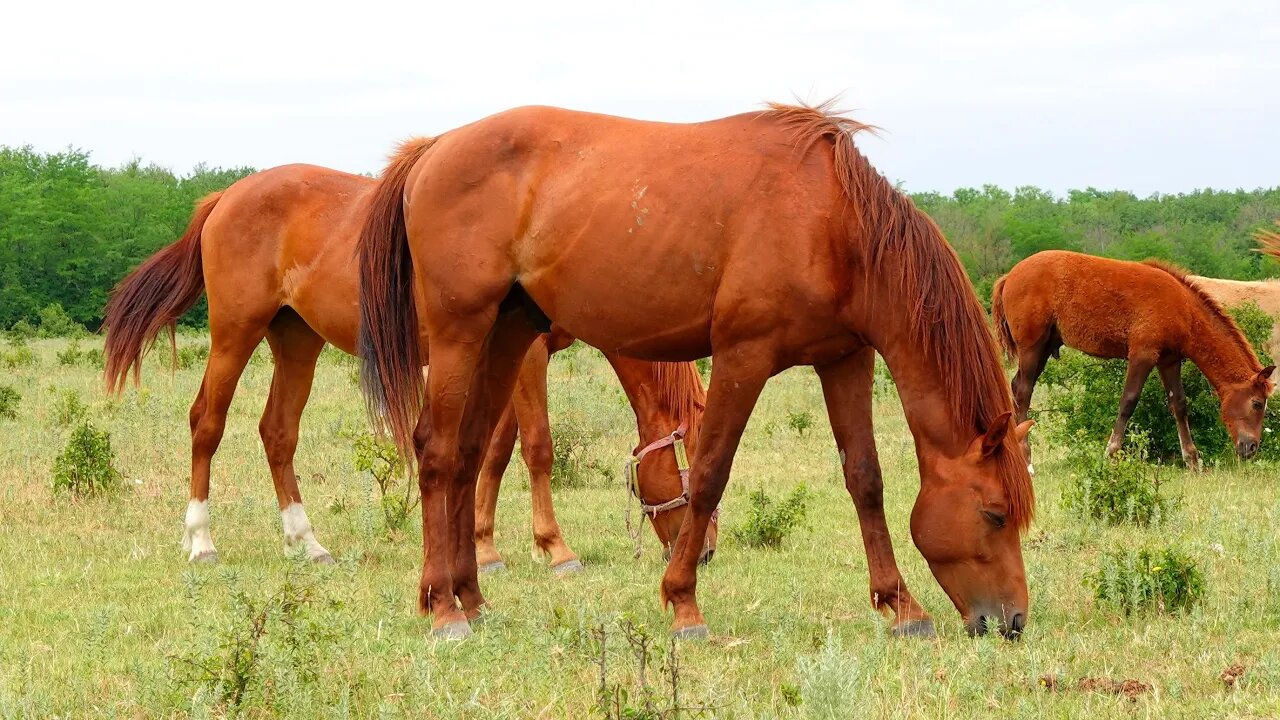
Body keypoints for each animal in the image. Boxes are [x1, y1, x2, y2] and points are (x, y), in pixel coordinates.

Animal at [103, 159, 716, 568]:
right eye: (689, 469)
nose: (704, 553)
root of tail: (225, 197)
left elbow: (493, 451)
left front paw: (482, 544)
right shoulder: (530, 356)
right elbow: (536, 447)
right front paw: (554, 548)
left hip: (296, 340)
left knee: (278, 433)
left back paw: (307, 542)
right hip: (235, 334)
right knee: (206, 423)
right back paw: (202, 540)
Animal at [355, 102, 1034, 638]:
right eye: (996, 514)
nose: (1012, 622)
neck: (832, 223)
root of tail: (434, 148)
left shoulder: (844, 358)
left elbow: (865, 479)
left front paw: (901, 606)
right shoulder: (743, 357)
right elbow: (709, 474)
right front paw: (683, 604)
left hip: (507, 333)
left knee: (469, 454)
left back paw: (472, 598)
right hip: (459, 334)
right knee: (436, 452)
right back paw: (444, 610)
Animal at [988, 249, 1269, 468]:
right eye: (1257, 403)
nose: (1252, 447)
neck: (1183, 309)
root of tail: (1010, 275)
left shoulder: (1169, 361)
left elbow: (1179, 404)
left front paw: (1192, 460)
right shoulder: (1142, 355)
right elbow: (1128, 401)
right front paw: (1111, 453)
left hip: (1044, 348)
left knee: (1017, 387)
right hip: (1031, 348)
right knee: (1023, 391)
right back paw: (1026, 457)